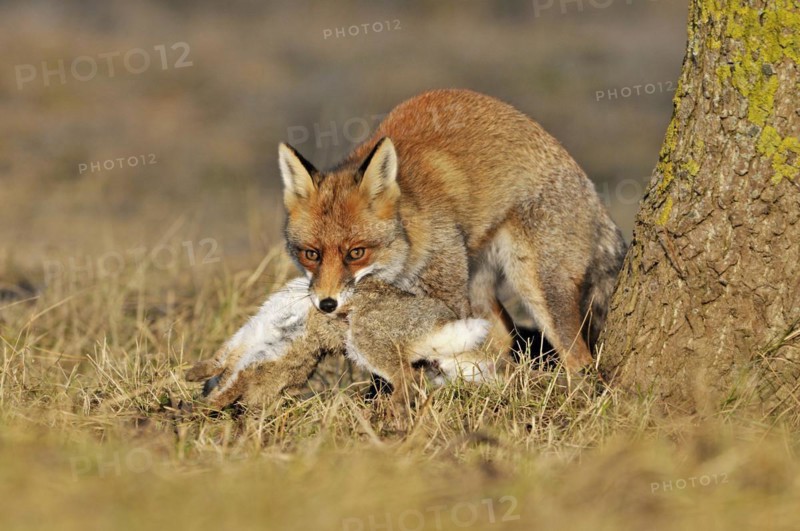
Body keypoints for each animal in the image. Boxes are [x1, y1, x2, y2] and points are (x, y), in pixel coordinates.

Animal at [186, 276, 508, 413]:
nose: (253, 407)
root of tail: (440, 325)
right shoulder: (248, 338)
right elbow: (221, 360)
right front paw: (195, 377)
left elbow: (227, 370)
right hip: (448, 360)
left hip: (365, 339)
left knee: (409, 378)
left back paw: (388, 408)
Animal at [278, 88, 626, 373]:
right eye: (311, 254)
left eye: (356, 253)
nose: (326, 304)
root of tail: (591, 190)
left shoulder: (444, 298)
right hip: (478, 287)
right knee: (505, 339)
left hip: (535, 286)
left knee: (578, 358)